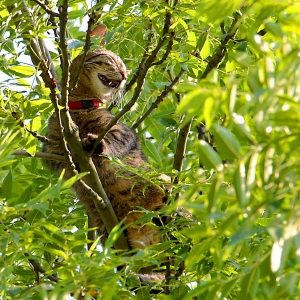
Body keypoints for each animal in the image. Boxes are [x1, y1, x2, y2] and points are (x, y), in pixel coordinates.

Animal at [43, 49, 168, 250]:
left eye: (124, 67)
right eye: (113, 63)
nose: (124, 75)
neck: (77, 108)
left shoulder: (120, 131)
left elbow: (112, 140)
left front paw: (95, 144)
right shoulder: (51, 146)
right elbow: (59, 158)